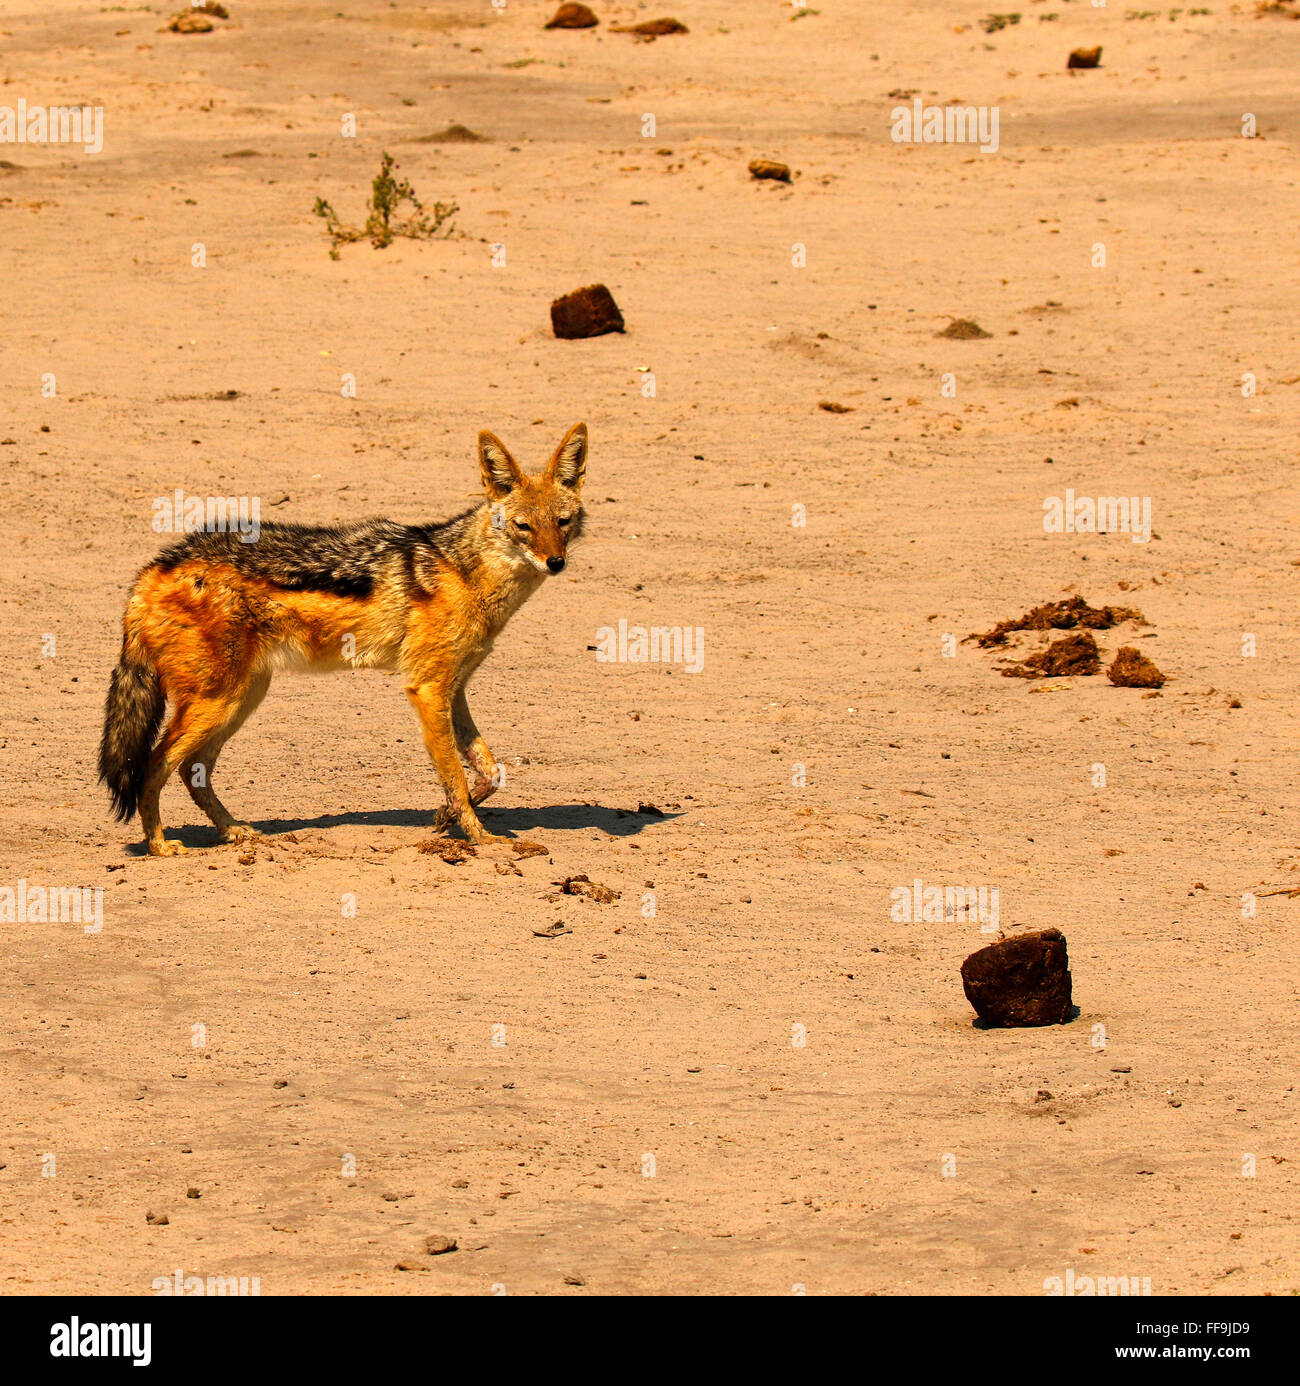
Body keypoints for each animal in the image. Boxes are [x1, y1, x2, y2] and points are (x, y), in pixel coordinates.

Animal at [98, 422, 588, 856]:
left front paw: (445, 817)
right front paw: (480, 838)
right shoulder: (428, 689)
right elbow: (456, 776)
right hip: (217, 702)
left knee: (191, 770)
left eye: (562, 522)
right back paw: (160, 846)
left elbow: (488, 771)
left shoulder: (454, 689)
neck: (467, 575)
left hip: (240, 699)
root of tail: (152, 569)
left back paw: (234, 831)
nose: (555, 562)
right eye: (523, 527)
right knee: (151, 768)